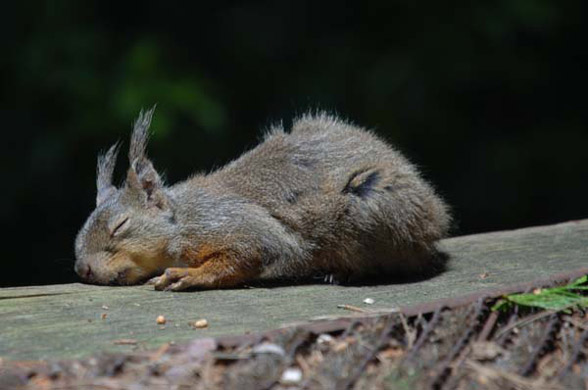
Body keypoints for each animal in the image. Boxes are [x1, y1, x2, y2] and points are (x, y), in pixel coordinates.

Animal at [73, 108, 450, 290]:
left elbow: (253, 251)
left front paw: (187, 275)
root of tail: (435, 215)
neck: (183, 219)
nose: (83, 269)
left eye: (120, 226)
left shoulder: (230, 223)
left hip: (373, 210)